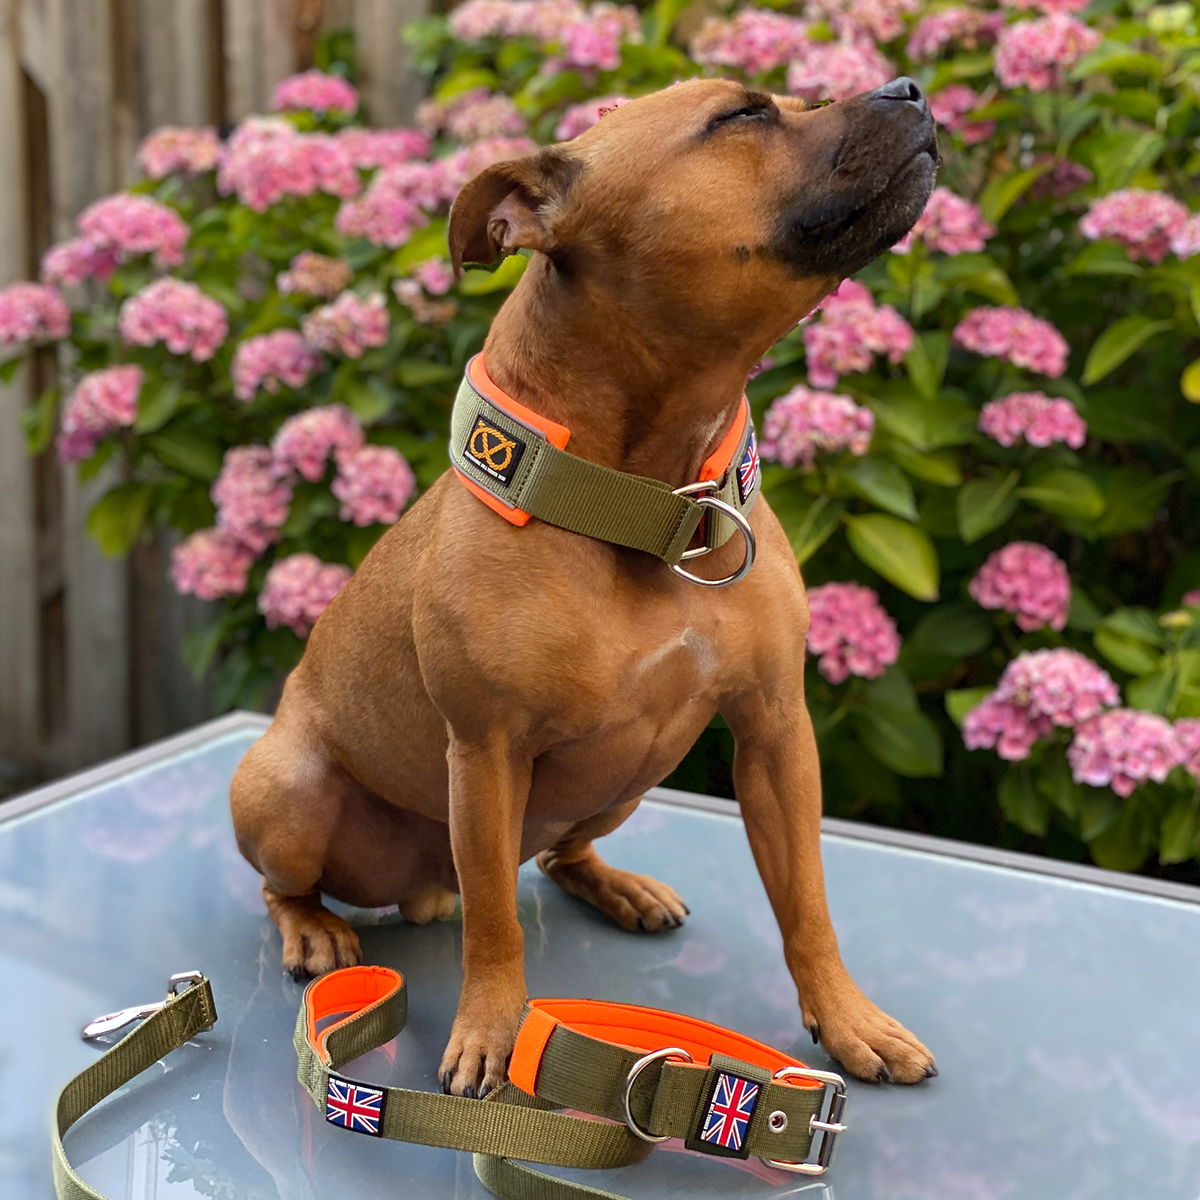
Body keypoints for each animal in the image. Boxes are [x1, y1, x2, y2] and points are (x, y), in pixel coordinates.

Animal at [231, 75, 936, 1099]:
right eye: (742, 117)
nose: (909, 87)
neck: (648, 501)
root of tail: (420, 887)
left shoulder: (775, 733)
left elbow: (806, 899)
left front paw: (846, 1019)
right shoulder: (487, 755)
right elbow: (496, 925)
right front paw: (492, 1032)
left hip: (632, 776)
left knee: (562, 853)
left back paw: (616, 885)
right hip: (287, 789)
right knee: (294, 883)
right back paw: (314, 927)